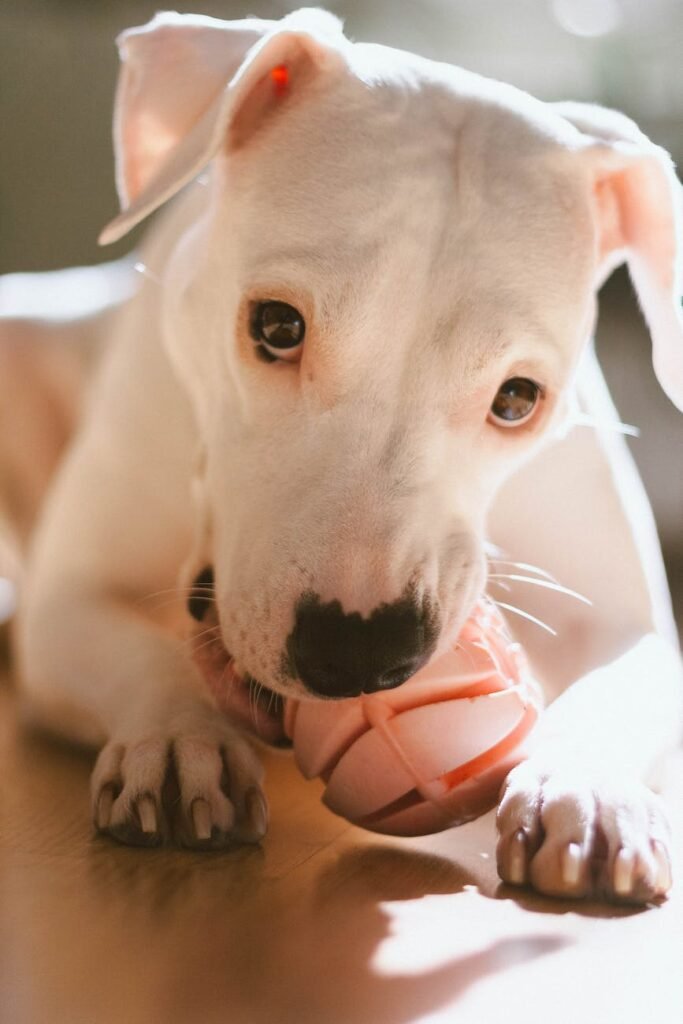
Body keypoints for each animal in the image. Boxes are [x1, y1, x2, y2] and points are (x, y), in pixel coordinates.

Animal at [1, 8, 683, 905]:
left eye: (517, 399)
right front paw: (180, 737)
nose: (360, 650)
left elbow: (616, 687)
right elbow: (139, 654)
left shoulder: (624, 624)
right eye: (276, 326)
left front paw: (588, 789)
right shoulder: (71, 602)